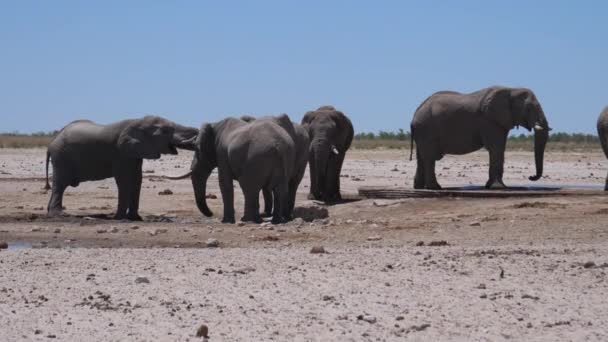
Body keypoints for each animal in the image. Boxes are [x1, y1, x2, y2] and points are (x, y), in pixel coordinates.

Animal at [45, 116, 197, 220]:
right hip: (61, 158)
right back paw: (59, 214)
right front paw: (120, 218)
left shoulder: (134, 153)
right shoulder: (120, 153)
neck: (138, 121)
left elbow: (137, 179)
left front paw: (135, 218)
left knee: (58, 185)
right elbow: (123, 180)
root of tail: (51, 143)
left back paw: (50, 212)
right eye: (165, 131)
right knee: (60, 185)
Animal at [408, 84, 552, 188]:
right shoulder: (489, 120)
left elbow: (498, 148)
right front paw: (498, 188)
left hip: (422, 131)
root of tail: (414, 115)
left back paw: (419, 187)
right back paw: (435, 188)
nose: (531, 177)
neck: (511, 89)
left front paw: (491, 186)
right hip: (427, 129)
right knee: (429, 158)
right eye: (528, 108)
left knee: (421, 158)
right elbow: (496, 148)